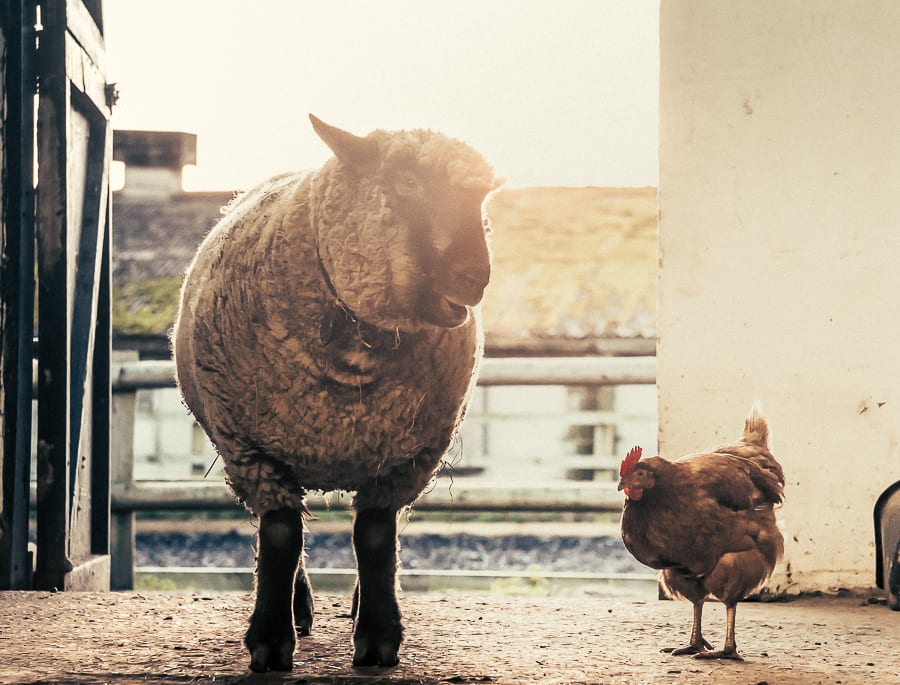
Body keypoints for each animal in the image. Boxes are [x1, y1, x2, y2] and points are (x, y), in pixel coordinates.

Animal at [174, 115, 500, 672]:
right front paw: (269, 640)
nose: (476, 277)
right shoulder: (252, 449)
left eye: (480, 200)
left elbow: (376, 538)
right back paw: (300, 607)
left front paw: (378, 636)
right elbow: (281, 536)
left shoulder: (405, 457)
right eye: (407, 183)